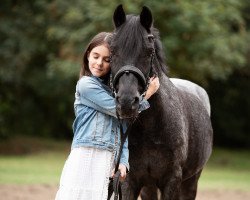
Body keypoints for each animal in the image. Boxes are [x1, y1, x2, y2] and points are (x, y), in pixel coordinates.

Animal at [109, 5, 213, 200]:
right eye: (112, 50)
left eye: (149, 52)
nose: (127, 102)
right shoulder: (129, 181)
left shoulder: (172, 180)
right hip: (149, 186)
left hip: (191, 181)